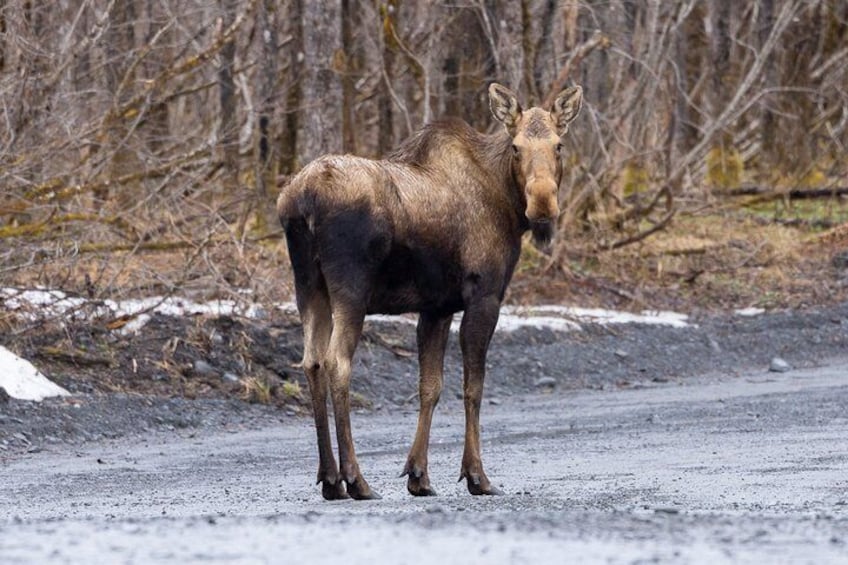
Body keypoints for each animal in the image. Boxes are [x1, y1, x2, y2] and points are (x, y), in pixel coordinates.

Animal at [277, 83, 583, 500]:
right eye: (516, 146)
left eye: (559, 145)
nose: (542, 203)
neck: (506, 202)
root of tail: (300, 200)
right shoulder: (484, 296)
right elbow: (473, 388)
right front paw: (476, 476)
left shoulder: (436, 307)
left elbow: (430, 387)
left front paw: (418, 475)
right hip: (350, 290)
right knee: (336, 362)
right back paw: (356, 479)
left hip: (308, 286)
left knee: (310, 362)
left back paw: (330, 479)